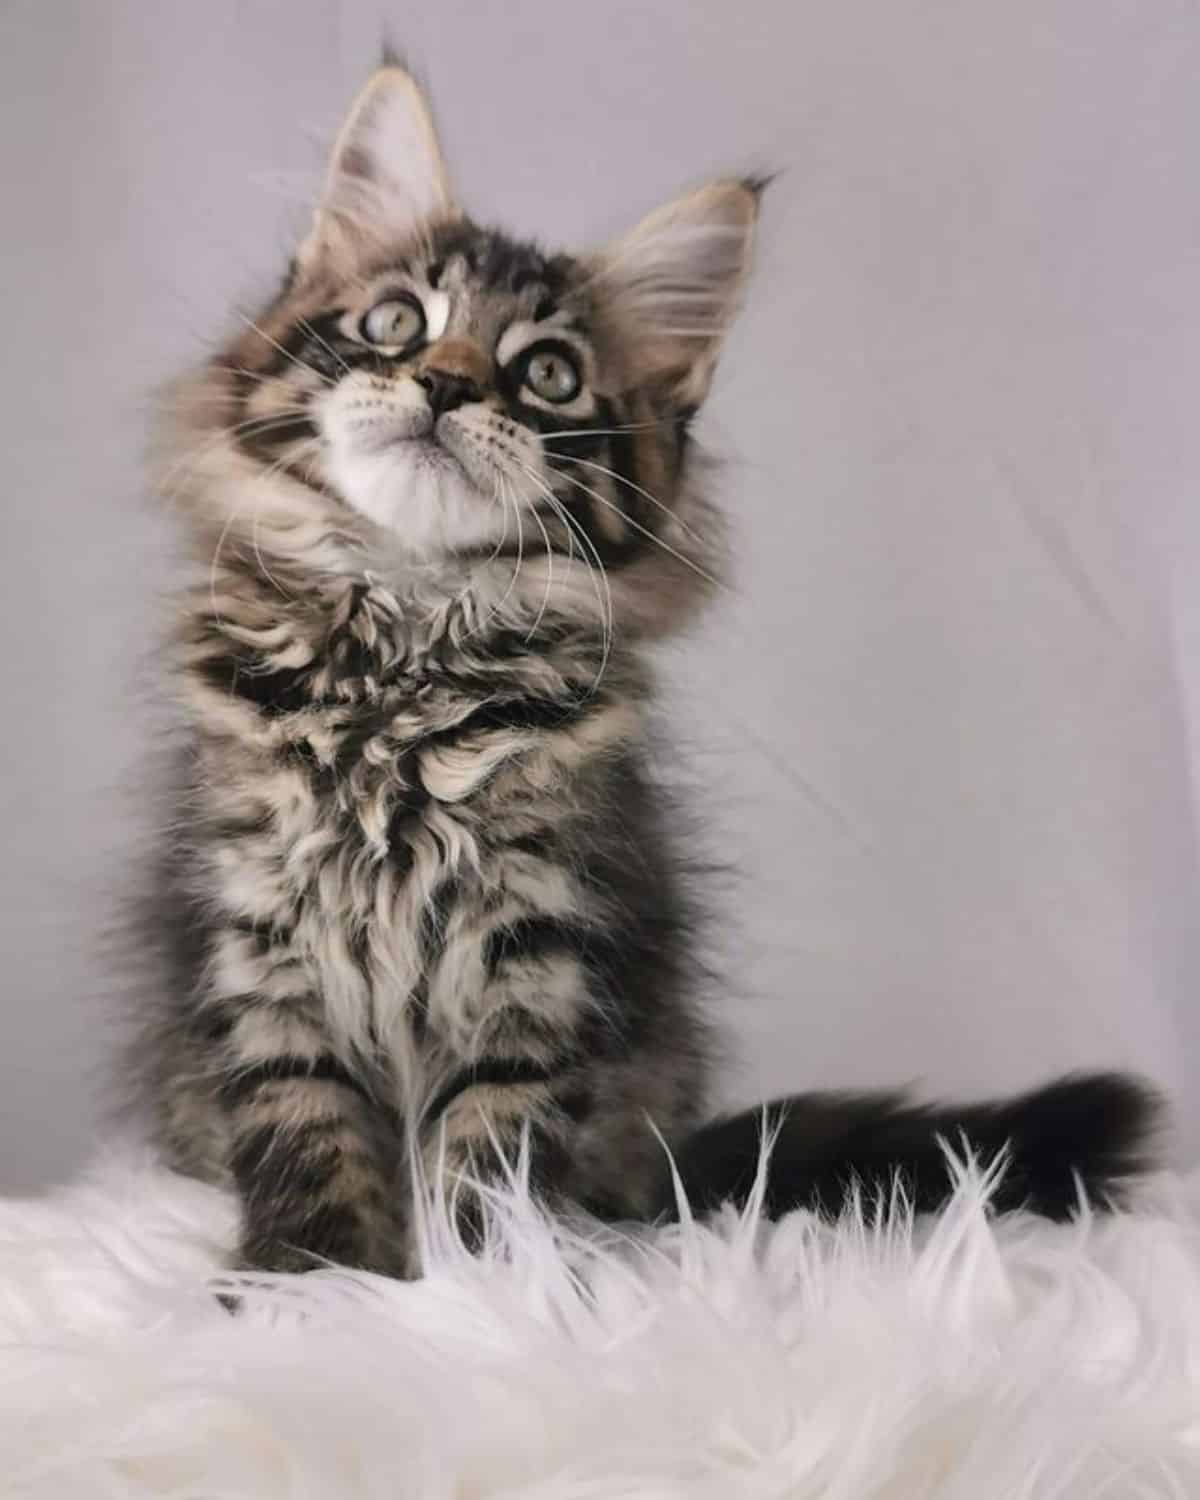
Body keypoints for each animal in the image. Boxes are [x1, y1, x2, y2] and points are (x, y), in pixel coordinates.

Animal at [133, 67, 1164, 1278]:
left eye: (548, 374)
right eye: (395, 323)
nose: (444, 385)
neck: (408, 634)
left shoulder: (543, 940)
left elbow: (496, 1151)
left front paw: (489, 1287)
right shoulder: (261, 934)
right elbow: (303, 1131)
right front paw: (307, 1284)